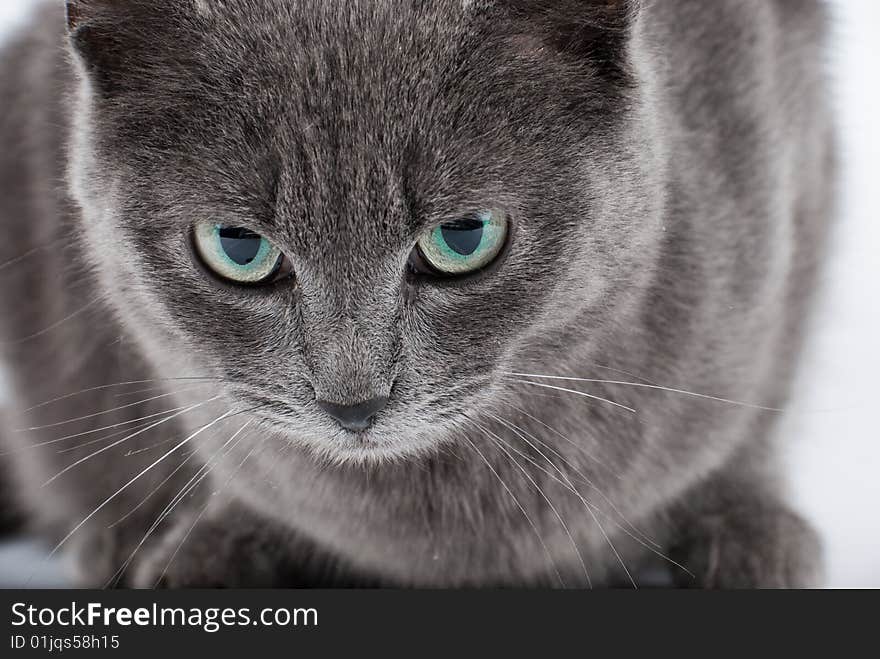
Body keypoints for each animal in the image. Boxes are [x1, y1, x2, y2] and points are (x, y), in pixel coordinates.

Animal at [0, 0, 832, 588]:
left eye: (463, 237)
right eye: (238, 247)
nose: (353, 403)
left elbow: (754, 412)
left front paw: (753, 533)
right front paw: (209, 543)